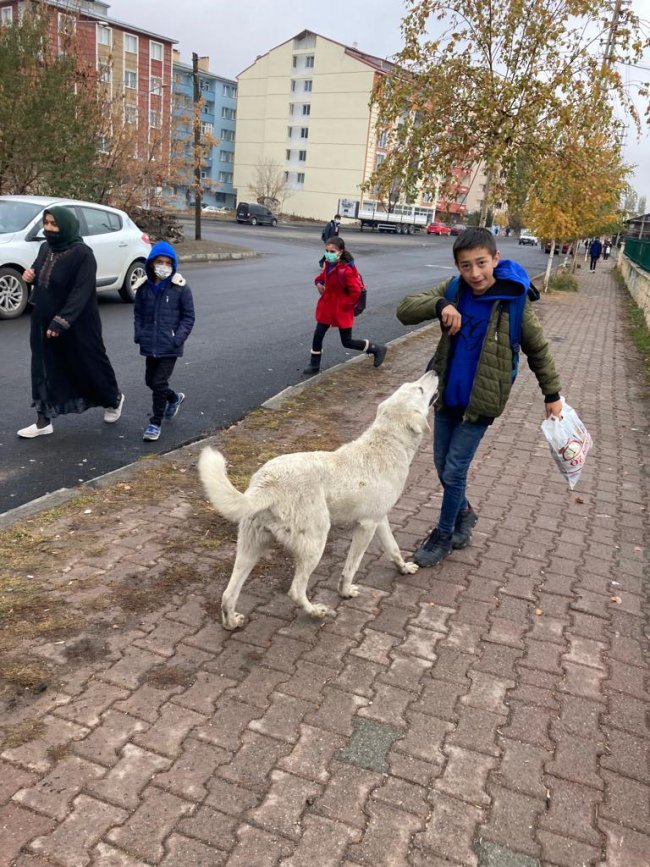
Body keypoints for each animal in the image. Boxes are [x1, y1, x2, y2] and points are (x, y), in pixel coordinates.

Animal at [195, 370, 432, 628]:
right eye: (420, 389)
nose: (434, 372)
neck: (389, 441)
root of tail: (267, 484)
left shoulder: (379, 520)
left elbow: (393, 548)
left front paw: (404, 568)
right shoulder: (366, 526)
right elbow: (351, 567)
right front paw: (345, 591)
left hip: (251, 547)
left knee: (228, 593)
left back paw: (231, 622)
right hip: (315, 543)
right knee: (296, 591)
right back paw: (316, 612)